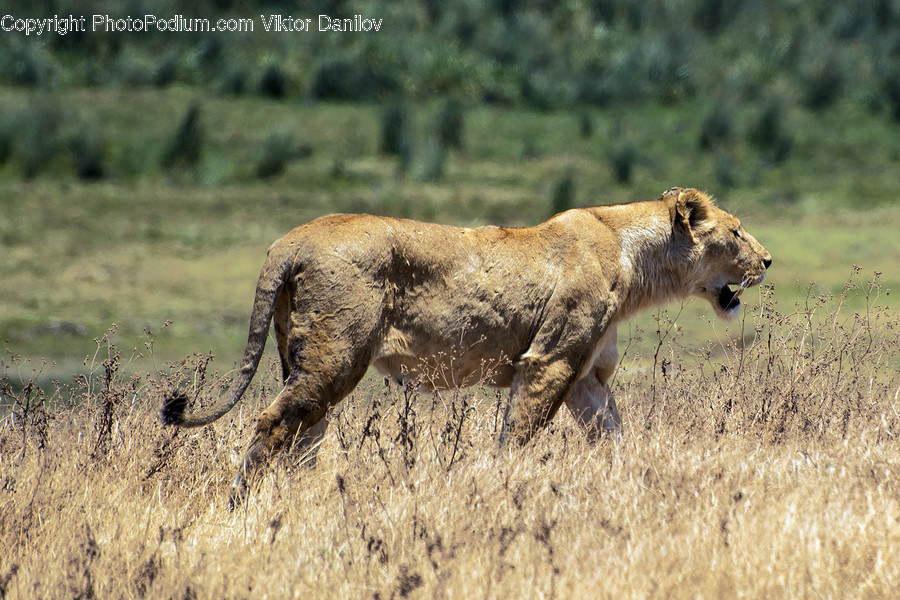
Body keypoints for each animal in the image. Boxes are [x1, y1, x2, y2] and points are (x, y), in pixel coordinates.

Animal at [162, 187, 771, 505]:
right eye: (736, 231)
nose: (768, 260)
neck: (634, 257)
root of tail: (289, 240)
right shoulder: (549, 361)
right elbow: (517, 436)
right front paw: (501, 489)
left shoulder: (586, 379)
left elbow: (614, 435)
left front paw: (638, 480)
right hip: (336, 356)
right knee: (273, 423)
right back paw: (243, 503)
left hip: (304, 361)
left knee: (303, 434)